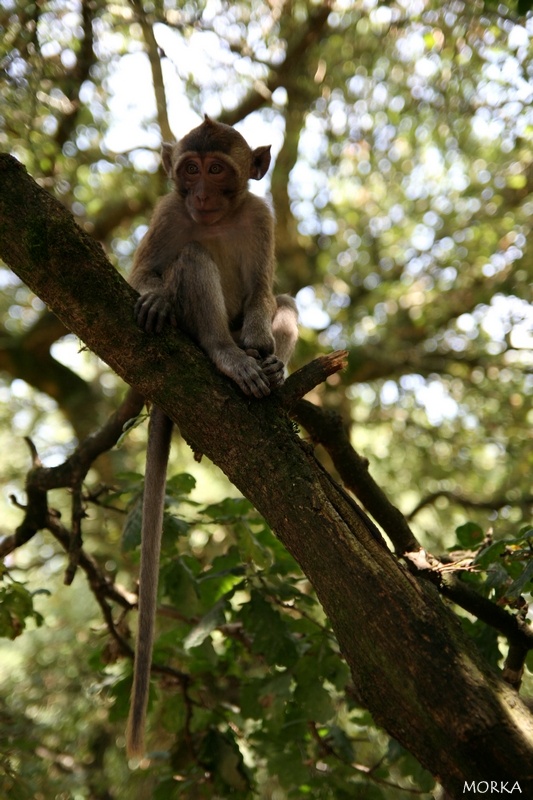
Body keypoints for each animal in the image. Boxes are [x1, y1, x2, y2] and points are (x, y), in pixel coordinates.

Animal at [126, 114, 298, 756]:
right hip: (193, 325)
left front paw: (265, 343)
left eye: (218, 169)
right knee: (194, 260)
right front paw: (153, 292)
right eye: (189, 170)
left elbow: (266, 291)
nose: (200, 195)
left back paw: (269, 369)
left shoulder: (262, 216)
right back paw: (227, 357)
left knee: (283, 299)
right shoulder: (166, 212)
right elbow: (146, 272)